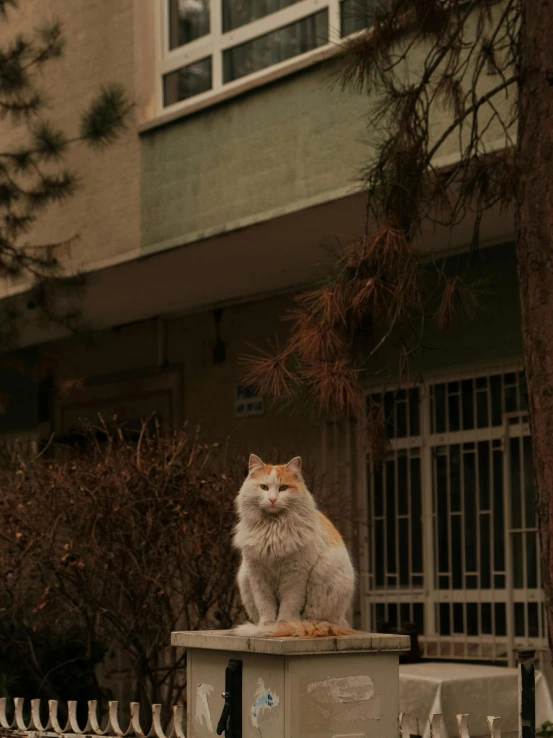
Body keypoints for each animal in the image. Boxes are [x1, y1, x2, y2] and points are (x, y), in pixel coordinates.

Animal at [232, 452, 354, 636]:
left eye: (283, 488)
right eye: (264, 487)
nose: (272, 499)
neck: (273, 528)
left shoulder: (295, 574)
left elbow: (289, 604)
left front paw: (283, 625)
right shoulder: (257, 575)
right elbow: (265, 604)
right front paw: (267, 625)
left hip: (320, 578)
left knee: (312, 617)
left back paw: (299, 627)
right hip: (244, 578)